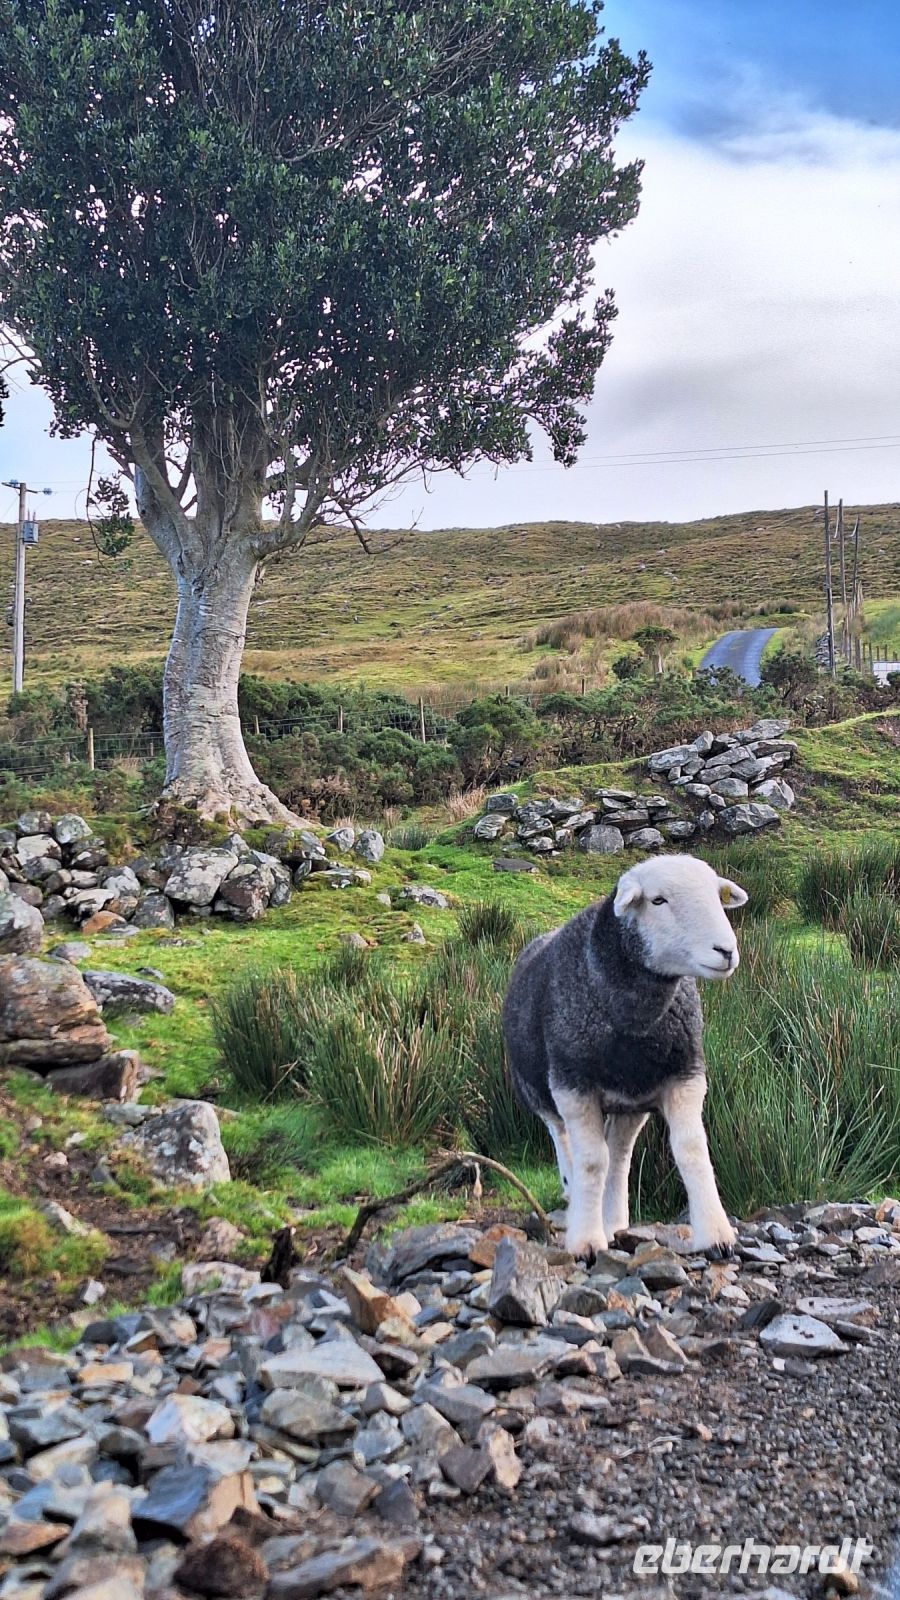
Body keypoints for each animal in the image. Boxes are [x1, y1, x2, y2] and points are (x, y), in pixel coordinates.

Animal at [502, 854, 748, 1260]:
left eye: (718, 896)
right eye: (659, 900)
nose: (725, 951)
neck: (634, 1019)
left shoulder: (685, 1074)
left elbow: (692, 1149)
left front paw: (716, 1235)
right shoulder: (572, 1084)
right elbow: (590, 1161)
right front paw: (585, 1242)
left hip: (632, 1103)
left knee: (618, 1155)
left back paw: (614, 1221)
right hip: (537, 1090)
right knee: (566, 1142)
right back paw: (574, 1201)